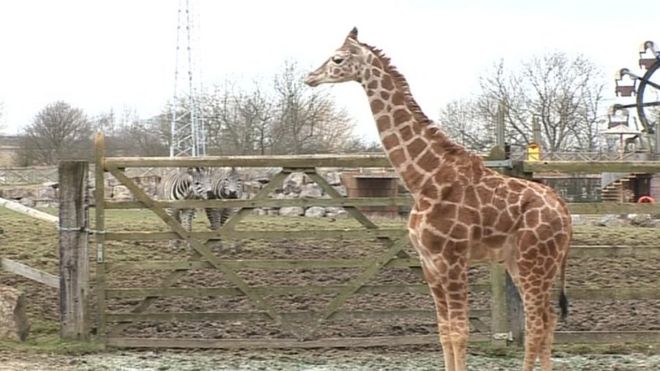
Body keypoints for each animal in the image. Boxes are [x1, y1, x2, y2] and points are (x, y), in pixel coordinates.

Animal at [306, 27, 568, 370]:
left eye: (337, 58)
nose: (310, 77)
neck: (424, 179)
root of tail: (564, 211)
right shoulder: (428, 262)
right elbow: (443, 331)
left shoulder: (453, 258)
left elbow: (460, 332)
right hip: (522, 261)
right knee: (548, 318)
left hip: (533, 260)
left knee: (537, 322)